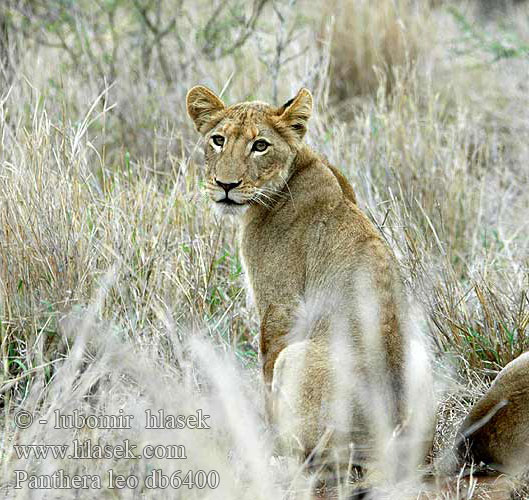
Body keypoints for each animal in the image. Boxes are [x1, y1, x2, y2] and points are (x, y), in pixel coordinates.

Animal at [185, 86, 434, 484]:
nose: (226, 185)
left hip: (300, 358)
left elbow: (267, 373)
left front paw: (265, 448)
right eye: (218, 140)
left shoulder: (280, 303)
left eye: (260, 145)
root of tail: (389, 441)